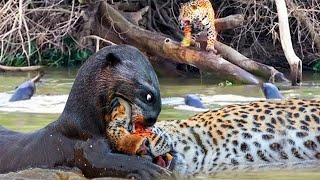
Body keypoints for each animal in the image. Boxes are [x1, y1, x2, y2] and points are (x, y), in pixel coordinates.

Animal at [0, 44, 170, 179]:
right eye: (148, 96)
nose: (152, 119)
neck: (85, 127)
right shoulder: (86, 150)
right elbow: (105, 163)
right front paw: (151, 169)